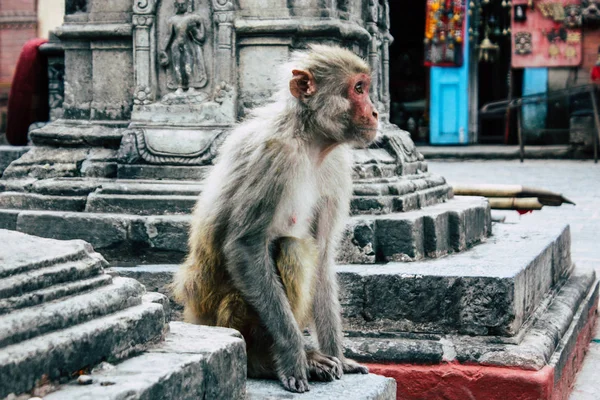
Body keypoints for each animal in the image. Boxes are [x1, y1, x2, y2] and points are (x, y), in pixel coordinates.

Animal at [172, 44, 380, 394]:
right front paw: (293, 357)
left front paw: (339, 355)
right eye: (358, 89)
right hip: (228, 315)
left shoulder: (336, 166)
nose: (376, 112)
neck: (310, 141)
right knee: (291, 247)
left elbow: (323, 255)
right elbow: (245, 247)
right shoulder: (272, 157)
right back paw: (265, 360)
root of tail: (195, 314)